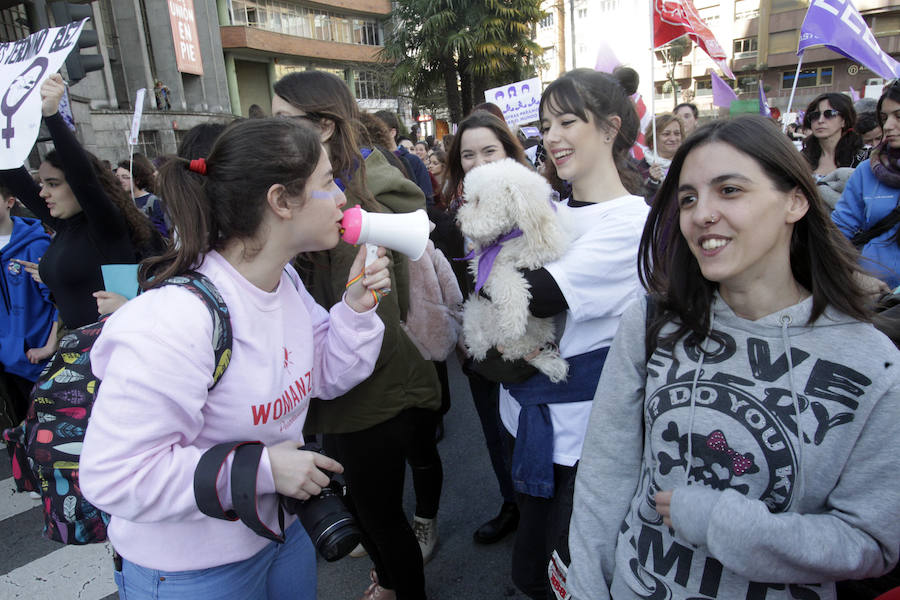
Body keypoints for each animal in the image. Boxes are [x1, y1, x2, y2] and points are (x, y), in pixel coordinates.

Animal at [458, 159, 568, 382]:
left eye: (478, 201)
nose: (458, 221)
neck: (510, 236)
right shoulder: (484, 264)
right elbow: (507, 281)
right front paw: (513, 320)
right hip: (478, 318)